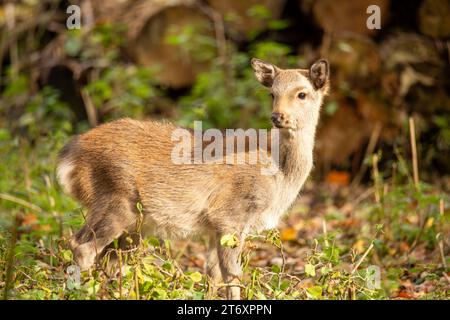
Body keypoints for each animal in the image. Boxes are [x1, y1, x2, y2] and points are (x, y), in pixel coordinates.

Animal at [57, 58, 330, 300]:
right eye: (272, 94)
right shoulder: (230, 215)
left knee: (109, 258)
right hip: (115, 199)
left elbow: (212, 274)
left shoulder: (213, 227)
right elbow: (233, 276)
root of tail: (70, 157)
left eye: (302, 94)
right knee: (82, 247)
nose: (277, 117)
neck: (280, 178)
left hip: (134, 221)